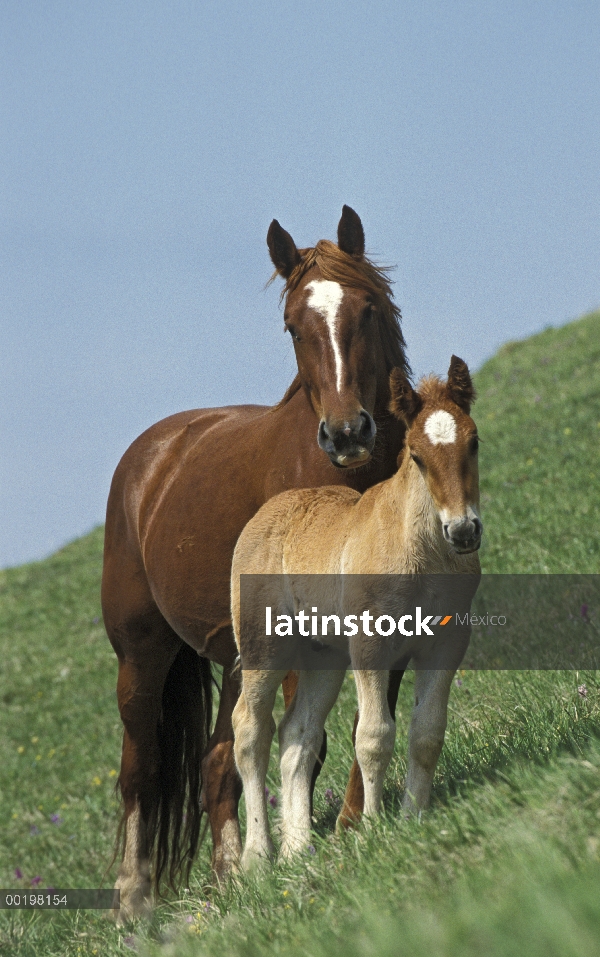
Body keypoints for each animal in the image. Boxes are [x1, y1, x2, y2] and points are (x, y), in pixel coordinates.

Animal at [103, 205, 410, 916]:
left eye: (367, 310)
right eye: (294, 326)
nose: (348, 433)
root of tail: (151, 457)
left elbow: (371, 713)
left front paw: (353, 823)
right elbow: (308, 739)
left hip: (236, 654)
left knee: (217, 760)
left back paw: (227, 875)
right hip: (142, 657)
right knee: (141, 768)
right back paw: (134, 899)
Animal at [230, 354, 482, 864]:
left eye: (475, 441)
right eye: (417, 456)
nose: (464, 531)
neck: (422, 551)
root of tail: (261, 518)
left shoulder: (446, 644)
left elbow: (427, 732)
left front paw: (413, 817)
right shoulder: (370, 646)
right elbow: (373, 736)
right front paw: (373, 830)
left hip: (323, 657)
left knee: (297, 735)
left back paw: (298, 851)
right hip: (265, 649)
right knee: (249, 730)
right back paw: (257, 858)